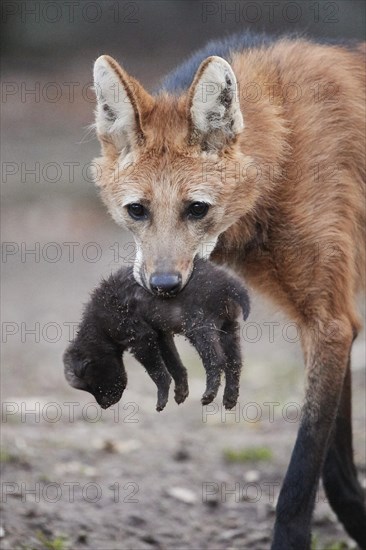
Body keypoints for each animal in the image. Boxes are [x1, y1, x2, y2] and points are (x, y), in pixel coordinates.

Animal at [64, 260, 250, 412]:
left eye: (90, 380)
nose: (104, 405)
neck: (99, 322)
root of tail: (228, 284)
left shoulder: (141, 339)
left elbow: (158, 372)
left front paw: (162, 399)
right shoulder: (161, 335)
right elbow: (175, 364)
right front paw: (181, 393)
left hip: (200, 327)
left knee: (216, 360)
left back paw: (209, 394)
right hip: (228, 327)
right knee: (234, 362)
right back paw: (230, 398)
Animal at [91, 33, 366, 550]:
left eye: (197, 208)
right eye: (137, 210)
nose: (163, 285)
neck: (281, 153)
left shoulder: (331, 321)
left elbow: (304, 468)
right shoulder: (328, 321)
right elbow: (335, 464)